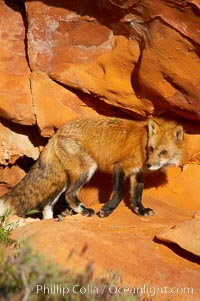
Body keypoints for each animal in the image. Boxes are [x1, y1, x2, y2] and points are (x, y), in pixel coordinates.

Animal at [0, 116, 184, 218]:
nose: (149, 164)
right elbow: (119, 193)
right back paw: (83, 211)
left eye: (163, 152)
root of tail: (57, 133)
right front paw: (107, 210)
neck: (142, 143)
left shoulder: (138, 173)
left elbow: (137, 197)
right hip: (87, 169)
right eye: (151, 149)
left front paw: (141, 211)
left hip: (65, 179)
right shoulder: (120, 166)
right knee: (69, 195)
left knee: (48, 204)